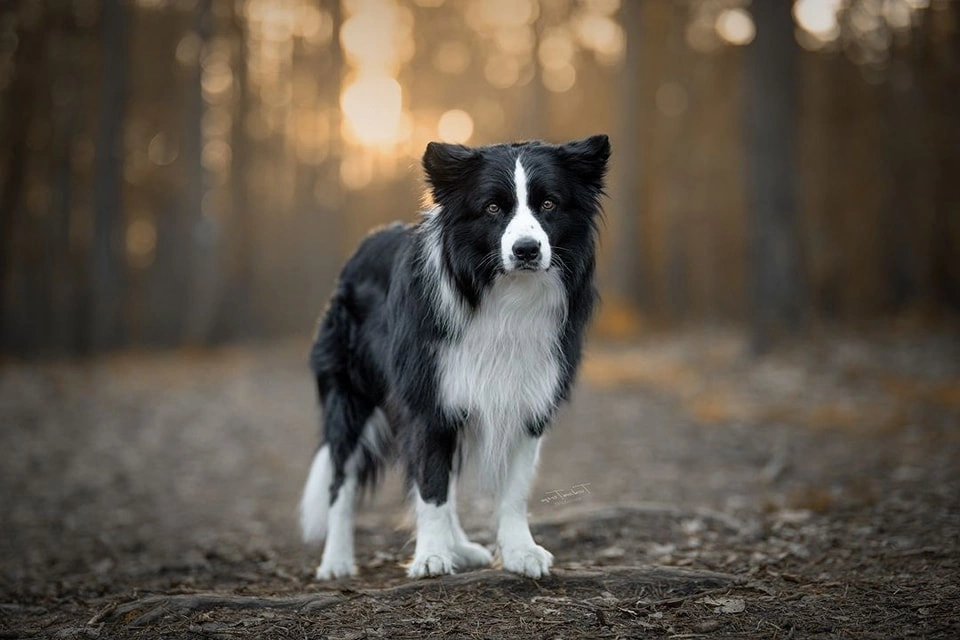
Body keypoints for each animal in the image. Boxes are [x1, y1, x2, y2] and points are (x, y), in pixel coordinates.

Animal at [298, 134, 608, 580]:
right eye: (493, 208)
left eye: (549, 203)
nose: (527, 250)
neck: (501, 293)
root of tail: (363, 246)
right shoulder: (429, 398)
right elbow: (431, 488)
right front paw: (430, 556)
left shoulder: (527, 398)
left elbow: (512, 489)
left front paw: (519, 552)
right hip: (351, 394)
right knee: (343, 477)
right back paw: (337, 561)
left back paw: (460, 547)